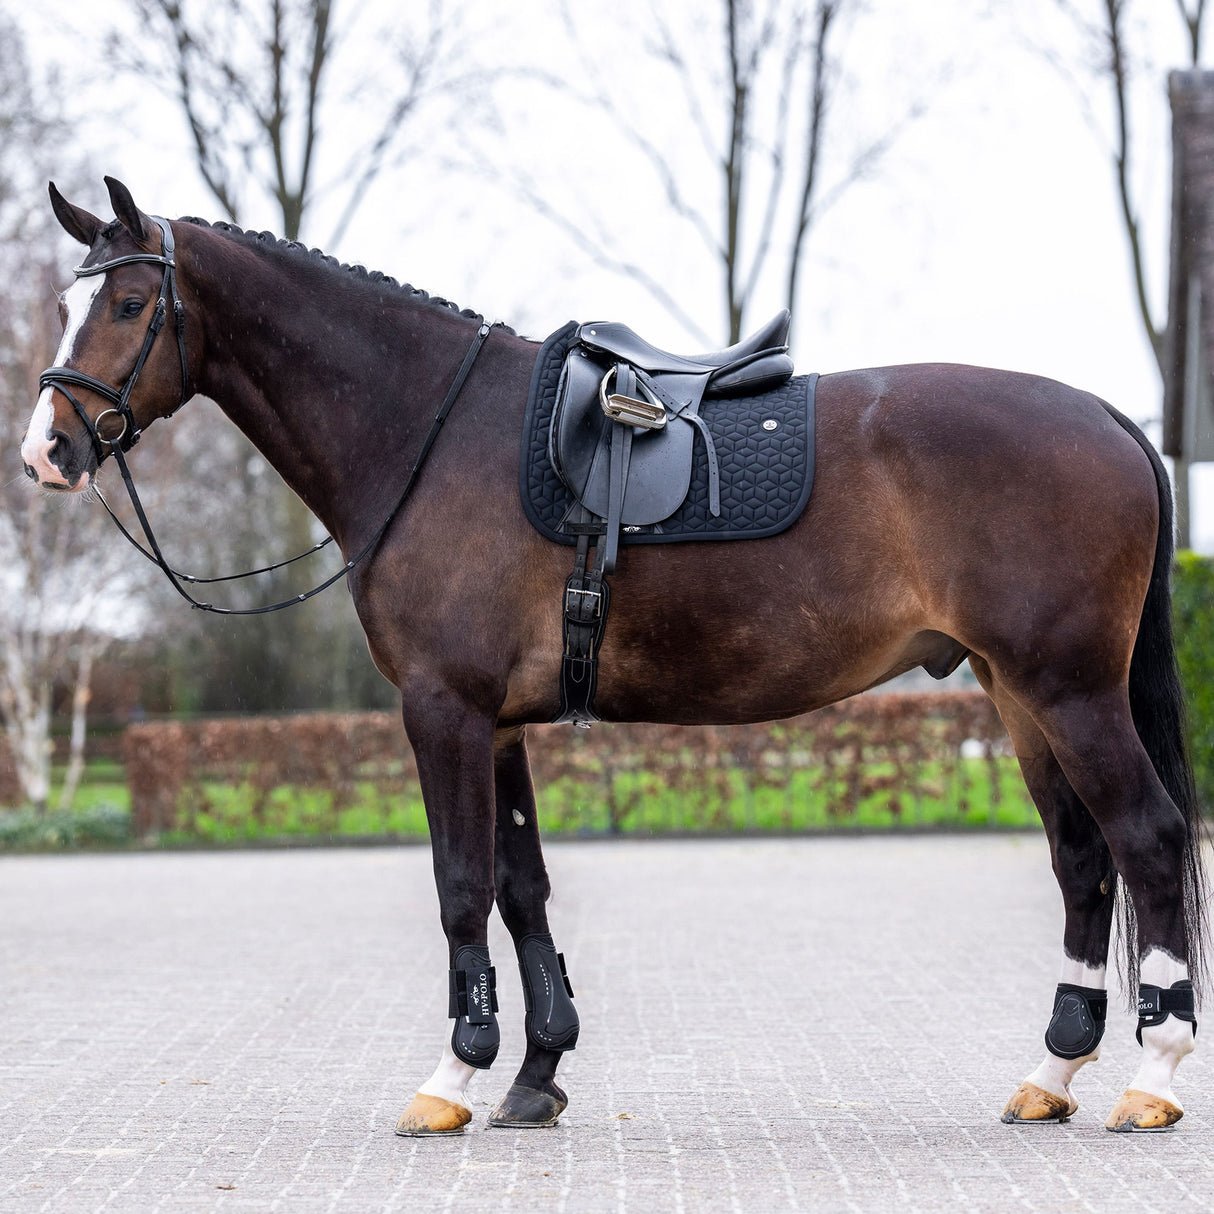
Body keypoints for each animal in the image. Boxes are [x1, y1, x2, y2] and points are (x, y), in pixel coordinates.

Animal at [18, 177, 1204, 1136]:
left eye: (130, 305)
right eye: (68, 304)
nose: (47, 450)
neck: (430, 432)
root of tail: (1104, 415)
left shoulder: (442, 710)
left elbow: (460, 884)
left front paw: (452, 1076)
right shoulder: (496, 724)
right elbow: (522, 886)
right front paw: (534, 1073)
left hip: (1068, 690)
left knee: (1144, 838)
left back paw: (1152, 1074)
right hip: (1019, 696)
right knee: (1081, 858)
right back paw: (1051, 1073)